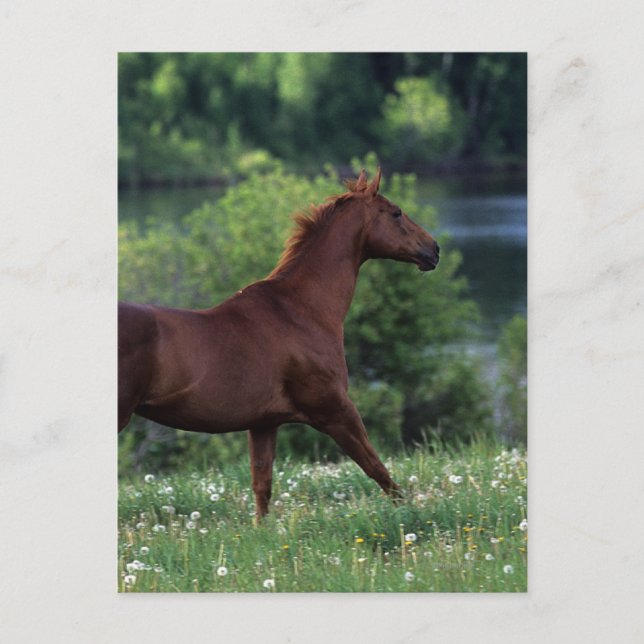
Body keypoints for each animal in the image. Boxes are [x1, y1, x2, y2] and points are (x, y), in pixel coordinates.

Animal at [119, 168, 440, 518]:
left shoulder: (263, 424)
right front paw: (411, 514)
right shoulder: (336, 410)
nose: (434, 249)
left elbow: (262, 488)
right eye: (396, 212)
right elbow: (377, 469)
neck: (300, 310)